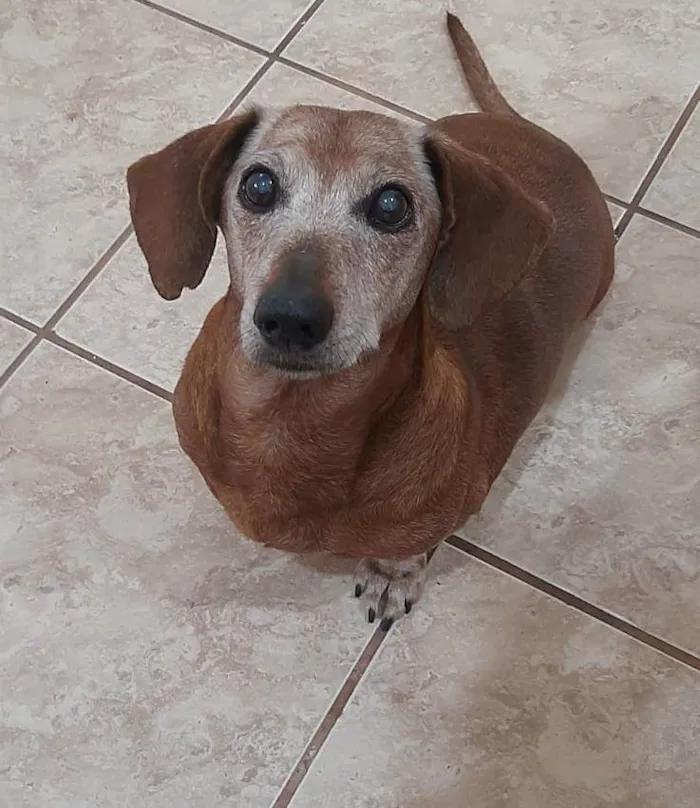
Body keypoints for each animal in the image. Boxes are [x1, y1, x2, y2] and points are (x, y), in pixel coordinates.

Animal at [126, 14, 612, 632]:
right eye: (258, 186)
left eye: (391, 205)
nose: (290, 318)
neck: (289, 422)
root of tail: (530, 129)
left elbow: (403, 550)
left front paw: (390, 575)